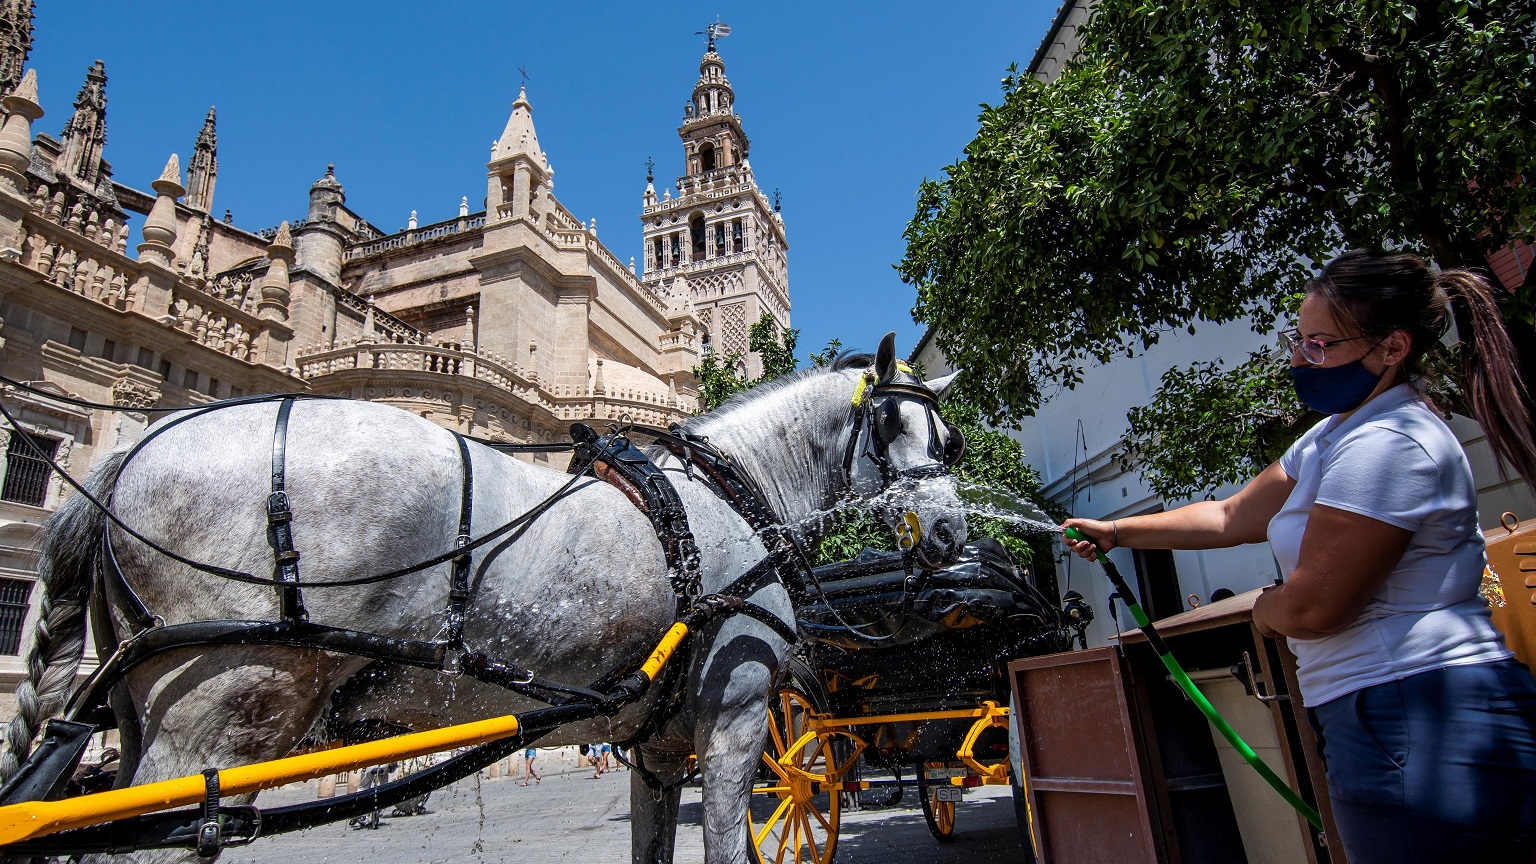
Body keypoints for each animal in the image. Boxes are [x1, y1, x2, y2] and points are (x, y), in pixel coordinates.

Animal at [0, 332, 968, 863]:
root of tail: (125, 457)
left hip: (142, 713)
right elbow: (733, 841)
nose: (953, 534)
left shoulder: (655, 743)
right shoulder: (731, 717)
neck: (728, 492)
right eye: (900, 427)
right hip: (220, 716)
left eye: (950, 440)